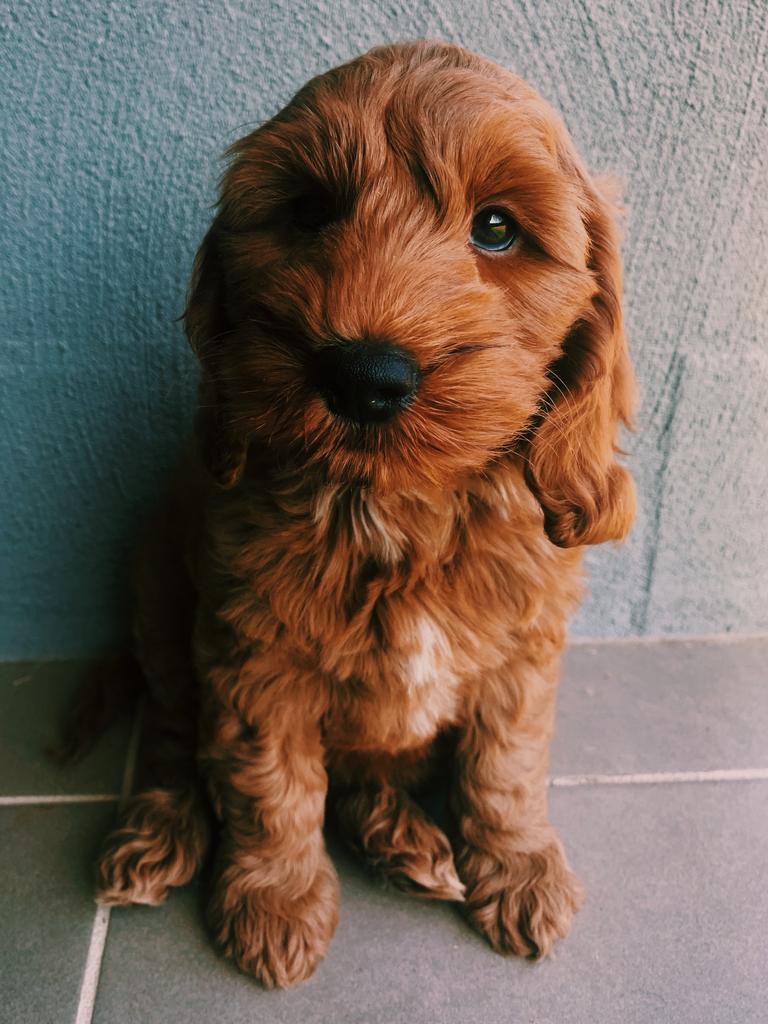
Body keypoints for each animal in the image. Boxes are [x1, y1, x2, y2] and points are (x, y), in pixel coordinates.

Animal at [94, 44, 638, 987]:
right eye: (309, 211)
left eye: (497, 228)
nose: (365, 376)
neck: (399, 506)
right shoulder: (253, 658)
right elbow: (272, 783)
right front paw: (275, 899)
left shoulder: (524, 651)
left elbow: (506, 766)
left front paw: (522, 869)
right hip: (159, 602)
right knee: (169, 732)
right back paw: (159, 831)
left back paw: (403, 840)